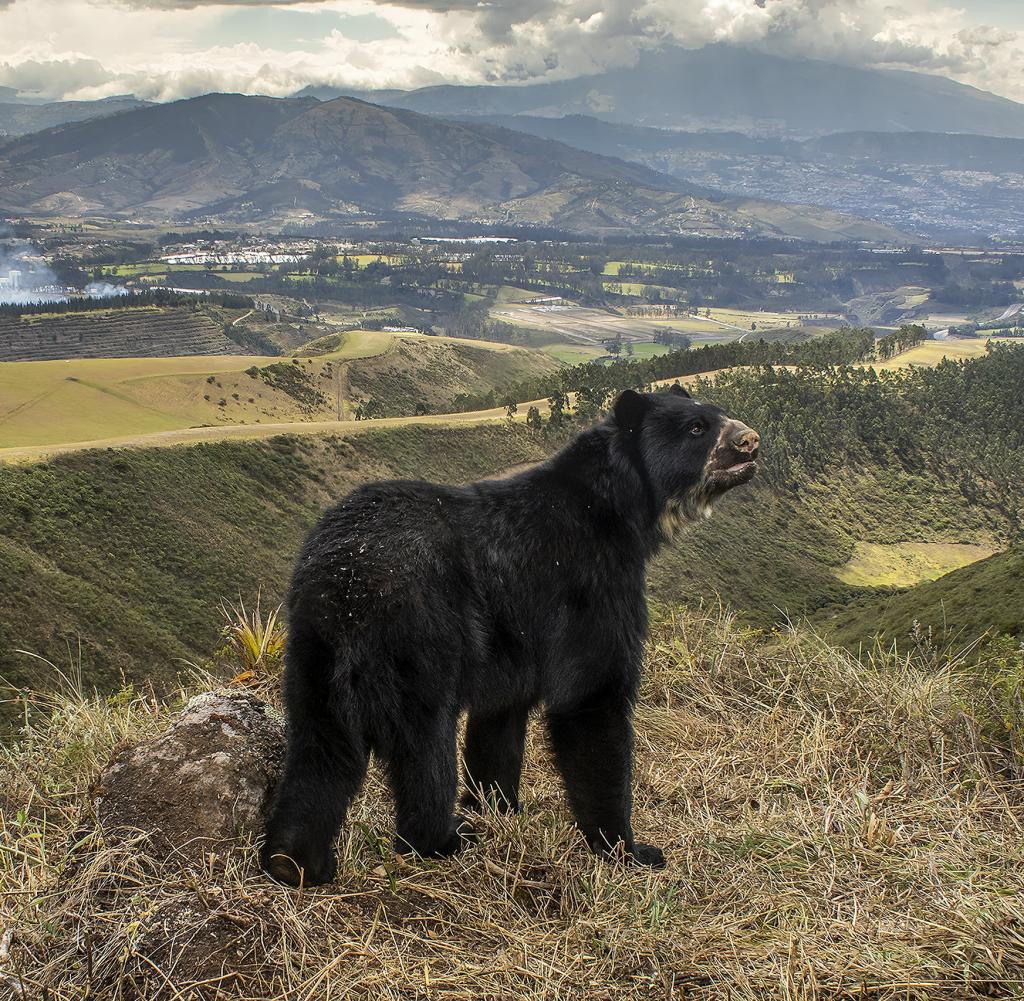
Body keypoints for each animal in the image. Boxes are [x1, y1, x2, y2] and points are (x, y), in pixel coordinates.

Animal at [264, 382, 761, 880]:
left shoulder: (516, 640)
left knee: (322, 753)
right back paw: (441, 840)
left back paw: (294, 862)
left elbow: (500, 719)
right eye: (697, 428)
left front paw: (498, 806)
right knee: (424, 750)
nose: (751, 440)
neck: (619, 507)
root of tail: (346, 580)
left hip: (313, 650)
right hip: (419, 636)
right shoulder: (589, 584)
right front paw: (629, 849)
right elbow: (591, 697)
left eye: (717, 413)